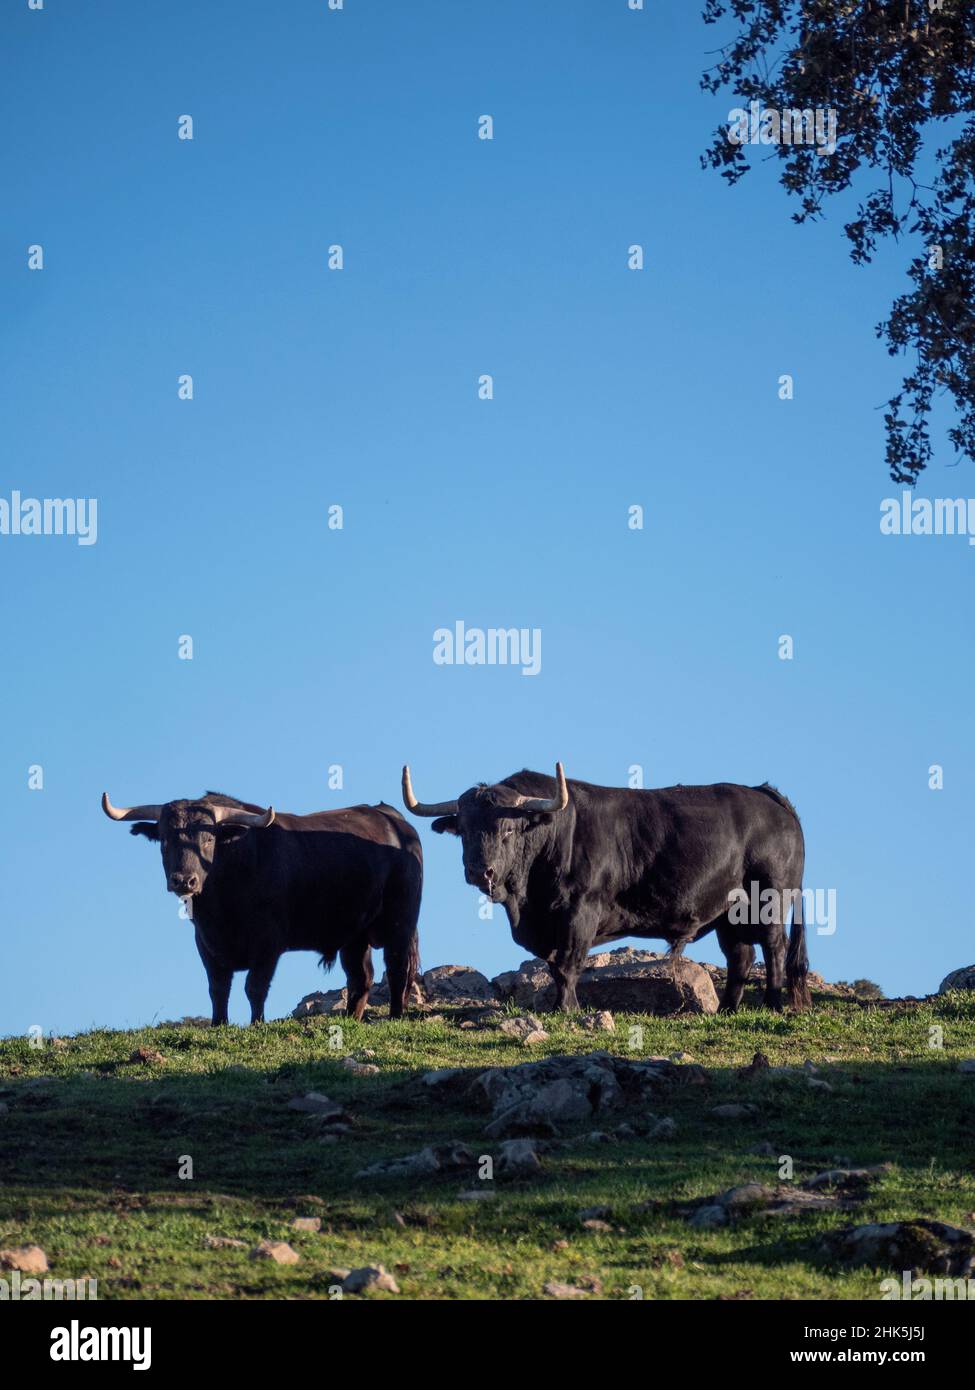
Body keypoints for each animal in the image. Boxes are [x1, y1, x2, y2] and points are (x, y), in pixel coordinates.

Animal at [103, 789, 422, 1028]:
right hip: (354, 935)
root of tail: (394, 820)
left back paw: (395, 1017)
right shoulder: (205, 943)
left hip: (401, 921)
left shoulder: (269, 944)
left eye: (209, 838)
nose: (183, 880)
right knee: (361, 977)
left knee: (396, 967)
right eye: (165, 839)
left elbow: (254, 987)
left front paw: (257, 1023)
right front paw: (219, 1024)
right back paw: (351, 1020)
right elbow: (218, 988)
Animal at [400, 767, 812, 1017]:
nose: (478, 871)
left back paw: (774, 1003)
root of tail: (766, 795)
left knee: (773, 948)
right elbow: (555, 966)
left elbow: (567, 965)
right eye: (465, 830)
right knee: (740, 956)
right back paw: (727, 1009)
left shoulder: (580, 913)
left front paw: (567, 1008)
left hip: (770, 899)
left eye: (508, 830)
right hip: (729, 912)